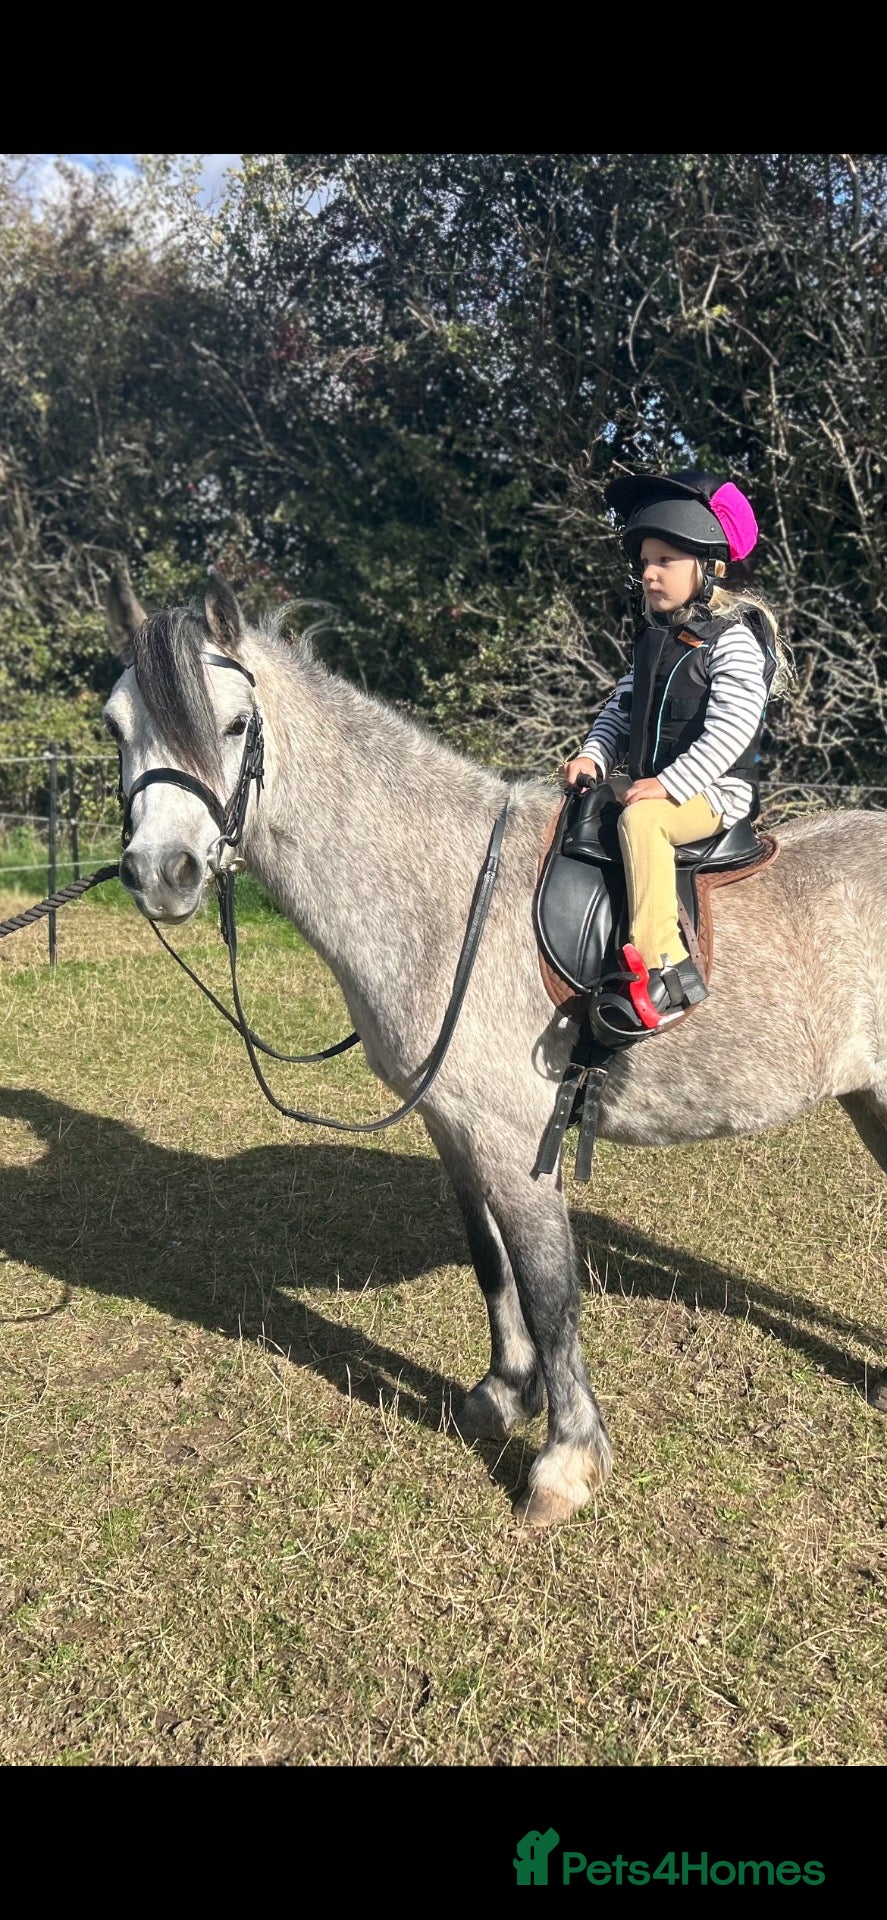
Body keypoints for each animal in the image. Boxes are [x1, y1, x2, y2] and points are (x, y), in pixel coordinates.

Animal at [104, 567, 887, 1530]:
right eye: (115, 725)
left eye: (235, 725)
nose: (160, 873)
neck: (445, 900)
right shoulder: (454, 1127)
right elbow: (491, 1265)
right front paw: (501, 1395)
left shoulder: (519, 1144)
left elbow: (551, 1295)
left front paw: (564, 1464)